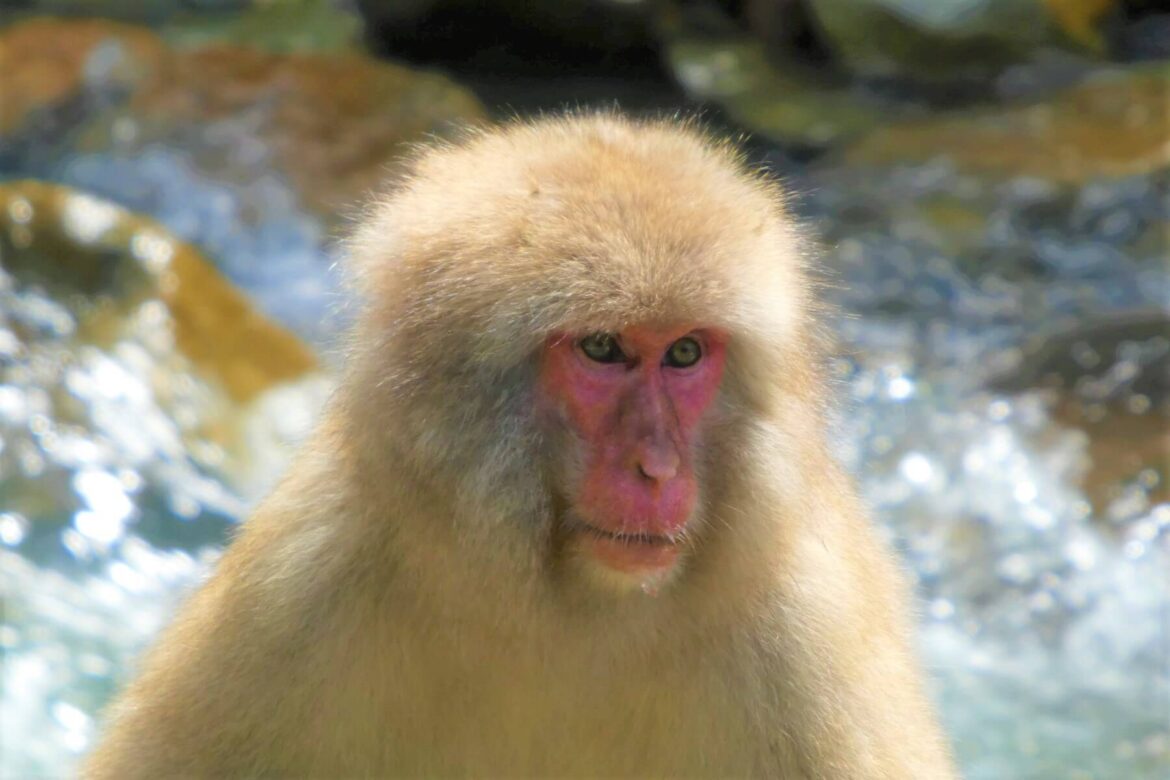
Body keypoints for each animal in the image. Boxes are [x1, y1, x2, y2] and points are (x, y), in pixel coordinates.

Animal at [85, 113, 956, 779]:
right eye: (603, 348)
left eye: (684, 353)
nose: (659, 469)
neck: (573, 615)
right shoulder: (294, 594)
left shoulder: (809, 644)